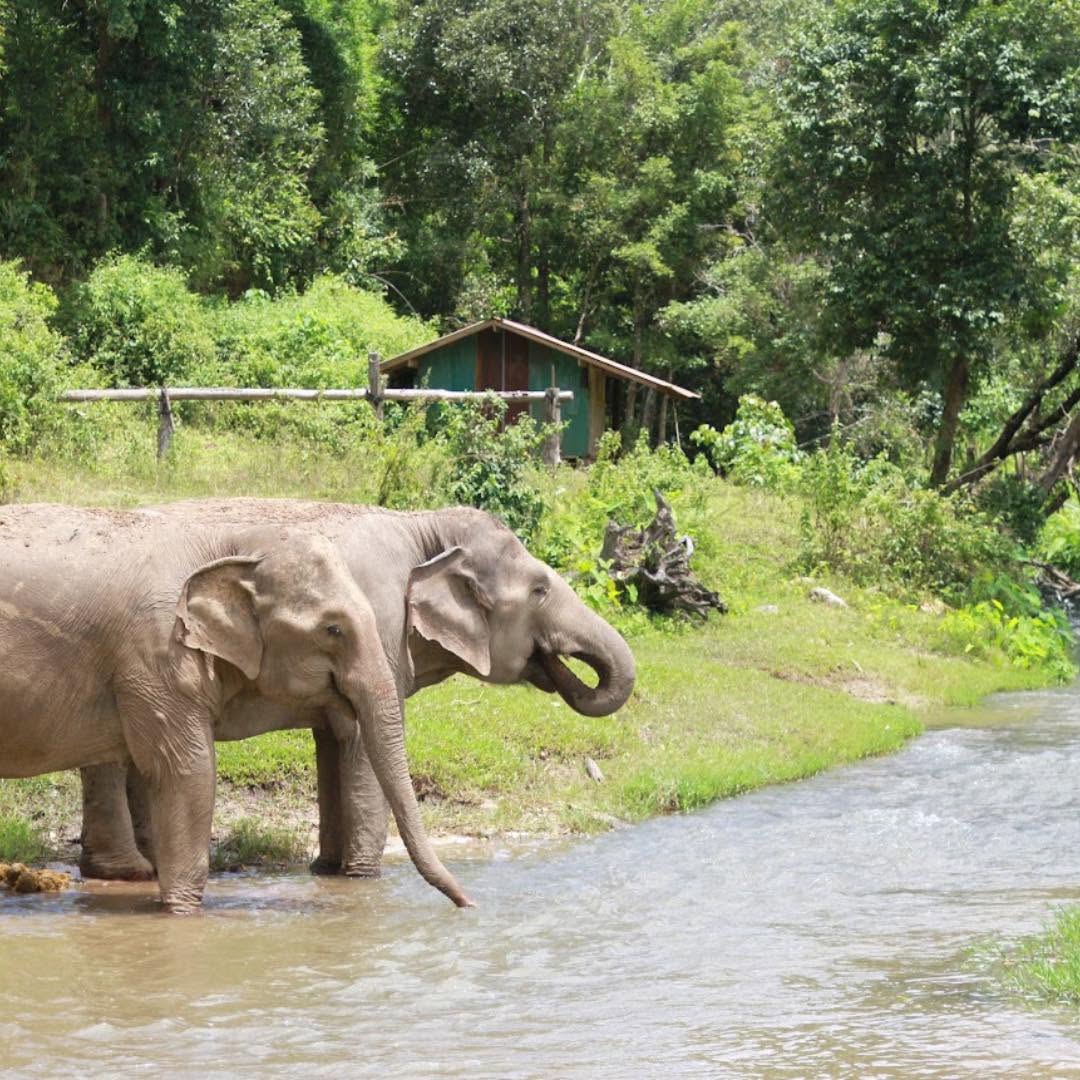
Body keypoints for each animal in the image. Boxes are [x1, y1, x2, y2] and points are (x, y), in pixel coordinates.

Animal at [0, 503, 471, 912]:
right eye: (333, 629)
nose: (468, 903)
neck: (227, 542)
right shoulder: (157, 657)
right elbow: (189, 772)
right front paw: (182, 916)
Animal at [76, 500, 637, 882]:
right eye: (540, 589)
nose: (557, 665)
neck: (422, 524)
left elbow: (333, 740)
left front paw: (327, 870)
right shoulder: (378, 622)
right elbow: (359, 739)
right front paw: (363, 879)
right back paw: (127, 871)